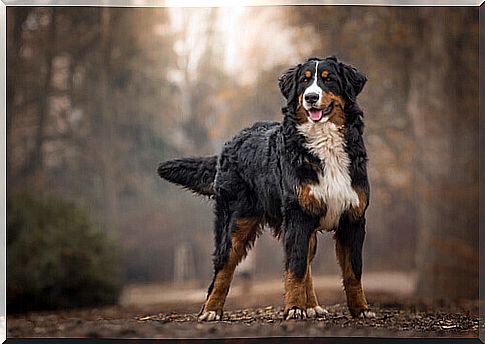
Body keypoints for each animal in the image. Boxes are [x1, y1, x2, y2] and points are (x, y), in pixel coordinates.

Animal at [158, 55, 374, 322]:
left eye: (328, 79)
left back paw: (312, 306)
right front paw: (294, 308)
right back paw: (210, 310)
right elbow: (295, 268)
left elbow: (353, 271)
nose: (311, 97)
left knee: (306, 264)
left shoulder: (353, 218)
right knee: (223, 267)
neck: (325, 144)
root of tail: (229, 145)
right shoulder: (297, 216)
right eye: (304, 82)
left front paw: (361, 309)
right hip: (235, 222)